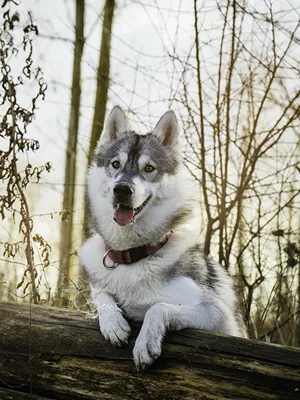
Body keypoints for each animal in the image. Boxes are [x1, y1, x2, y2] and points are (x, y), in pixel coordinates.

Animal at [79, 106, 246, 372]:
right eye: (115, 164)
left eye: (149, 168)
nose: (122, 190)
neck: (133, 255)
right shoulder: (99, 284)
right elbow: (102, 296)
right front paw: (114, 323)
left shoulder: (219, 317)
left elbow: (158, 307)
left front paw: (145, 342)